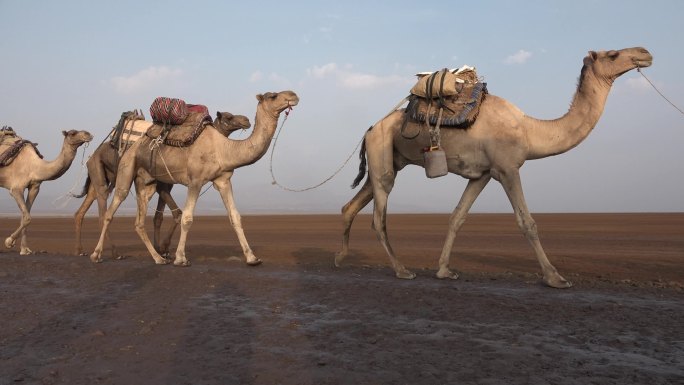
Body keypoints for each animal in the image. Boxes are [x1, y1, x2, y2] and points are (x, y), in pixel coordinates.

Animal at [71, 109, 251, 258]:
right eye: (229, 117)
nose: (246, 120)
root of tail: (92, 156)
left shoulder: (165, 185)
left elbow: (159, 217)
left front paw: (161, 249)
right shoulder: (162, 186)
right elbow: (177, 213)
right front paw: (164, 248)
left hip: (97, 181)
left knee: (82, 210)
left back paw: (80, 250)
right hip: (100, 174)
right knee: (103, 211)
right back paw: (112, 253)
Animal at [89, 90, 300, 266]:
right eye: (273, 96)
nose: (294, 95)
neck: (223, 149)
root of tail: (134, 144)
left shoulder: (223, 180)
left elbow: (235, 216)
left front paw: (252, 258)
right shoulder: (195, 181)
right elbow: (187, 217)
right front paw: (181, 258)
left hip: (146, 182)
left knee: (139, 222)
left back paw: (158, 258)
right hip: (126, 169)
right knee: (110, 211)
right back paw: (97, 254)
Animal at [336, 46, 652, 288]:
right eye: (613, 54)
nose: (644, 53)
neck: (528, 130)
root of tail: (370, 129)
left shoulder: (483, 174)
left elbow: (457, 217)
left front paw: (444, 270)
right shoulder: (508, 169)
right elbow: (527, 222)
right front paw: (555, 277)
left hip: (388, 160)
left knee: (352, 204)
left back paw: (340, 258)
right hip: (382, 155)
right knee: (379, 217)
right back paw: (402, 270)